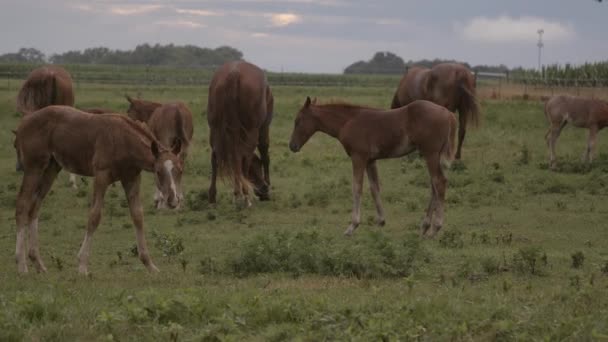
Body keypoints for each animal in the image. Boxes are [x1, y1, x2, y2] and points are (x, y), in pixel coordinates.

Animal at [14, 105, 183, 274]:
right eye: (158, 172)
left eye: (181, 170)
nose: (173, 200)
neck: (124, 140)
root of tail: (23, 122)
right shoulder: (101, 176)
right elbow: (94, 216)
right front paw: (82, 265)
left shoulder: (131, 178)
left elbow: (138, 216)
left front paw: (150, 265)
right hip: (34, 167)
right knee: (22, 205)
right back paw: (22, 265)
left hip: (51, 168)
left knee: (34, 207)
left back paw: (38, 263)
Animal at [208, 60, 274, 207]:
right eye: (257, 167)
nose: (263, 189)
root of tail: (234, 74)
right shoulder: (264, 128)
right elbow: (265, 153)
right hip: (252, 132)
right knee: (243, 157)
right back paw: (244, 196)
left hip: (215, 130)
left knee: (216, 157)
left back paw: (214, 196)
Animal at [290, 97, 456, 238]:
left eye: (298, 121)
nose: (292, 146)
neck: (348, 121)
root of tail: (448, 113)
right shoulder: (370, 160)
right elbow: (374, 187)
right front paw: (381, 221)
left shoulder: (358, 157)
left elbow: (357, 188)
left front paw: (352, 226)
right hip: (435, 156)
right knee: (434, 185)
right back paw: (425, 226)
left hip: (430, 154)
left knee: (439, 182)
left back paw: (435, 228)